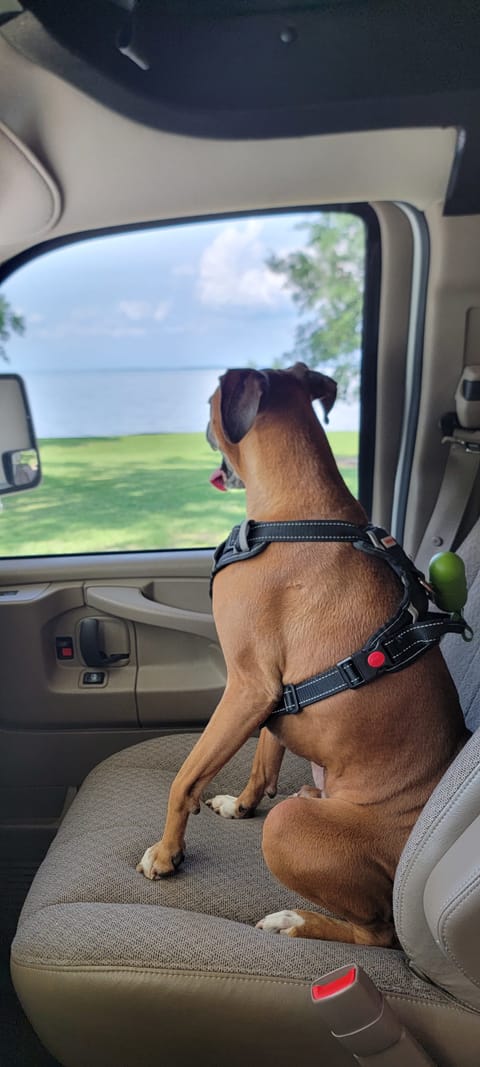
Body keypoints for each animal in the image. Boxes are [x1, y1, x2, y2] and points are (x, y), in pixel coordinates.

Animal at [136, 362, 467, 947]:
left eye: (208, 402)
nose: (201, 428)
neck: (302, 510)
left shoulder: (246, 687)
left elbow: (185, 778)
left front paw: (168, 852)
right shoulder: (270, 695)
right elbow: (265, 756)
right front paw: (241, 805)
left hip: (292, 833)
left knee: (376, 933)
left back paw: (293, 921)